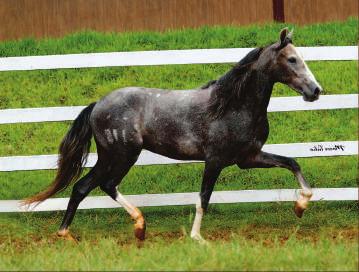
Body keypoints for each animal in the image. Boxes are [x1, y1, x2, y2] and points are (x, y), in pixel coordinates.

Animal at [25, 28, 324, 242]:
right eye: (292, 59)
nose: (315, 91)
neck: (231, 105)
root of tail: (98, 104)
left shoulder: (248, 158)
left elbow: (292, 163)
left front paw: (300, 206)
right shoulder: (215, 161)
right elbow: (203, 199)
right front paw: (197, 238)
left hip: (112, 157)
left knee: (83, 187)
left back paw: (72, 234)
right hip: (121, 156)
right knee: (103, 185)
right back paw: (135, 226)